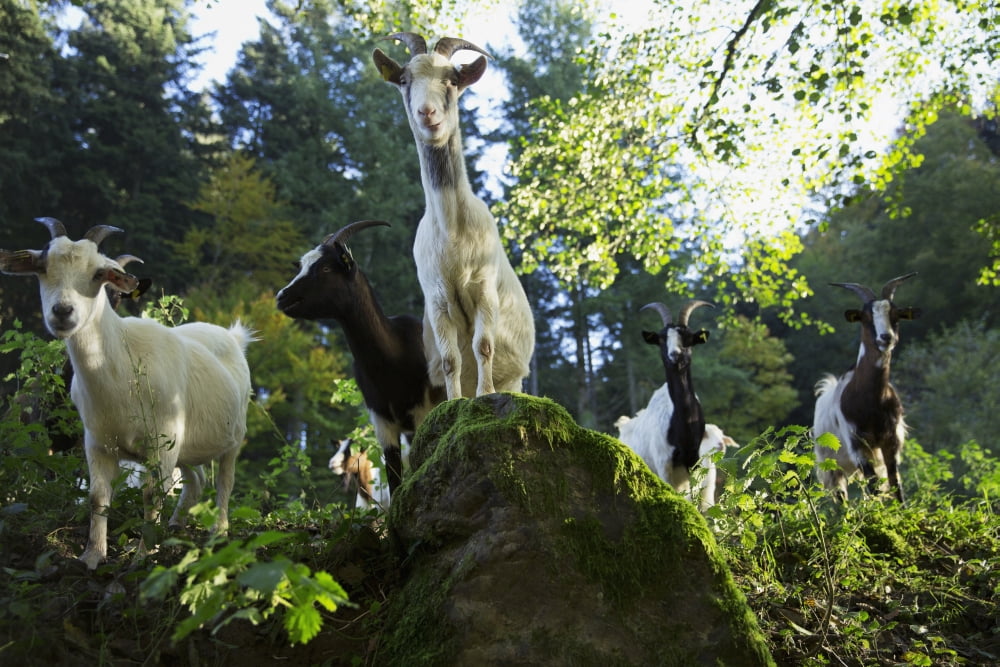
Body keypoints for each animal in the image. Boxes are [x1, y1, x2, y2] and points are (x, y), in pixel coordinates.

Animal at [0, 217, 254, 569]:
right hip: (186, 446)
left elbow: (152, 494)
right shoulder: (97, 442)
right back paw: (175, 525)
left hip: (233, 435)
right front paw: (92, 556)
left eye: (98, 273)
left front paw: (144, 556)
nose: (62, 312)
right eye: (41, 267)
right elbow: (98, 496)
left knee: (224, 481)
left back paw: (219, 530)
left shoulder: (162, 441)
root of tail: (233, 336)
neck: (120, 370)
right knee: (196, 480)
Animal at [276, 220, 444, 498]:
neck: (393, 358)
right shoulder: (382, 421)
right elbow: (394, 478)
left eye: (325, 268)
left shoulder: (422, 410)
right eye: (301, 266)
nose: (282, 297)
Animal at [373, 32, 535, 399]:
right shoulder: (437, 299)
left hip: (516, 376)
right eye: (404, 80)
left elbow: (483, 346)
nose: (427, 113)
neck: (452, 231)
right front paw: (456, 400)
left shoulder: (484, 289)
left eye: (451, 80)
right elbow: (451, 359)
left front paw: (485, 395)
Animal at [616, 300, 715, 509]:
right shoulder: (664, 464)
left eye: (688, 338)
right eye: (661, 340)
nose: (674, 355)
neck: (684, 428)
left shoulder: (695, 464)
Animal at [813, 273, 920, 503]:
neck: (871, 402)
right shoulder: (857, 446)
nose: (885, 338)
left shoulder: (891, 441)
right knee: (841, 498)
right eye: (865, 317)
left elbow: (895, 485)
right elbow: (874, 487)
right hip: (831, 466)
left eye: (896, 315)